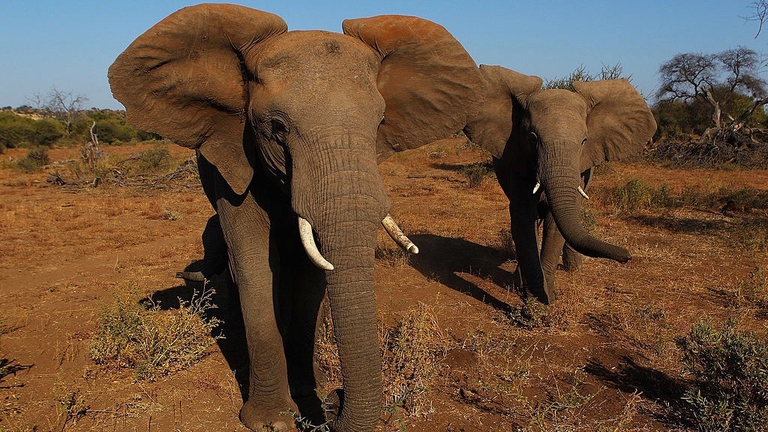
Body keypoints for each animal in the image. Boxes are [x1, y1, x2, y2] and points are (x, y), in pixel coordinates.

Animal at [108, 4, 481, 432]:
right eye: (277, 127)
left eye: (379, 124)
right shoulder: (234, 157)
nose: (336, 399)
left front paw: (307, 392)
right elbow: (254, 263)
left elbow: (311, 272)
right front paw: (273, 420)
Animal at [463, 65, 657, 304]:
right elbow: (523, 218)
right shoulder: (518, 159)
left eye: (584, 141)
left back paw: (573, 268)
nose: (627, 256)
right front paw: (532, 294)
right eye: (532, 138)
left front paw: (547, 296)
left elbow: (556, 224)